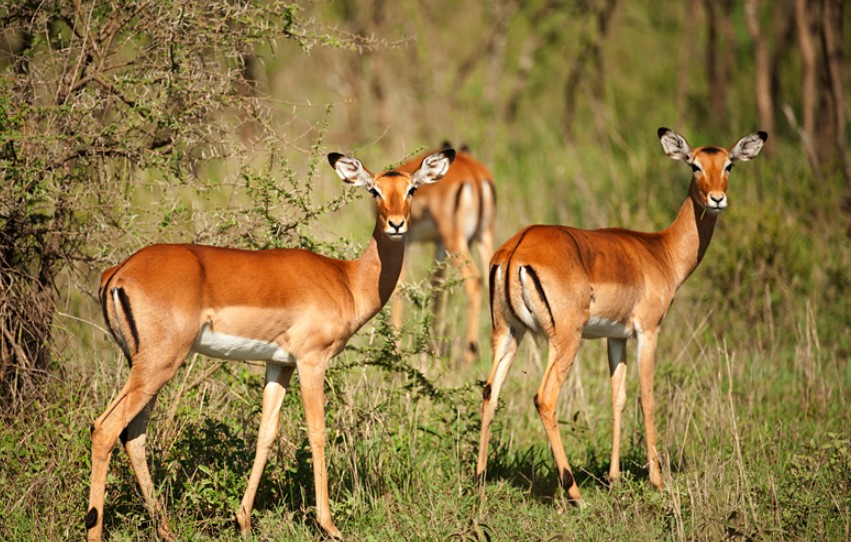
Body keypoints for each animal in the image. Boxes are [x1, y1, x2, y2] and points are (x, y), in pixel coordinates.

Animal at [86, 150, 456, 542]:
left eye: (412, 189)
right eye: (374, 190)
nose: (396, 225)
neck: (347, 279)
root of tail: (118, 272)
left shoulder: (280, 364)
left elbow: (266, 433)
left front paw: (243, 520)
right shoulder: (312, 360)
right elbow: (317, 433)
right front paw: (329, 525)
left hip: (146, 366)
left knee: (133, 436)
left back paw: (167, 530)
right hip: (160, 363)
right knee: (105, 429)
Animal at [394, 144, 496, 366]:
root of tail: (473, 173)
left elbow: (398, 286)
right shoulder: (439, 245)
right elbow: (437, 287)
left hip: (456, 241)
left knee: (474, 280)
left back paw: (469, 355)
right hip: (483, 237)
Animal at [476, 130, 768, 504]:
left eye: (729, 165)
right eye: (695, 165)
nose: (717, 199)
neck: (661, 251)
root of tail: (517, 248)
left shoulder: (616, 337)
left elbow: (618, 398)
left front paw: (614, 477)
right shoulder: (649, 331)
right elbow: (647, 397)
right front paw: (658, 480)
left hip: (508, 333)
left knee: (490, 392)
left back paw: (479, 483)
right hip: (564, 340)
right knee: (545, 399)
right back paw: (574, 492)